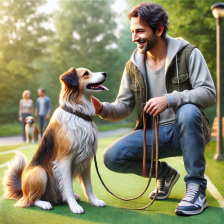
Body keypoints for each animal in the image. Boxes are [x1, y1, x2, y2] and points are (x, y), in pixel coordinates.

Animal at [2, 67, 108, 214]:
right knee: (31, 200)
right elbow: (68, 187)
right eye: (86, 73)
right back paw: (45, 203)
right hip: (40, 172)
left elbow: (88, 186)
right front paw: (74, 206)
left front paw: (95, 201)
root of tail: (22, 190)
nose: (105, 73)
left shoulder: (86, 159)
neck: (78, 113)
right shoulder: (65, 159)